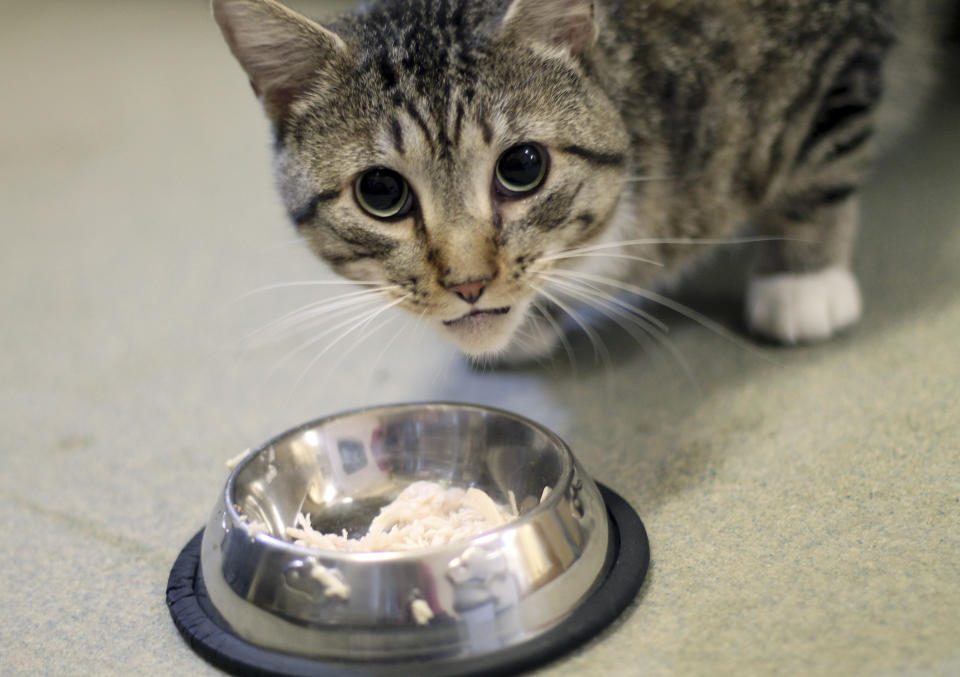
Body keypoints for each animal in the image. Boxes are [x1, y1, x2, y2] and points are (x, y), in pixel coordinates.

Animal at [208, 0, 928, 364]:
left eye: (522, 167)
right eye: (380, 193)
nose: (468, 284)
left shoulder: (843, 46)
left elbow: (823, 159)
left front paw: (804, 279)